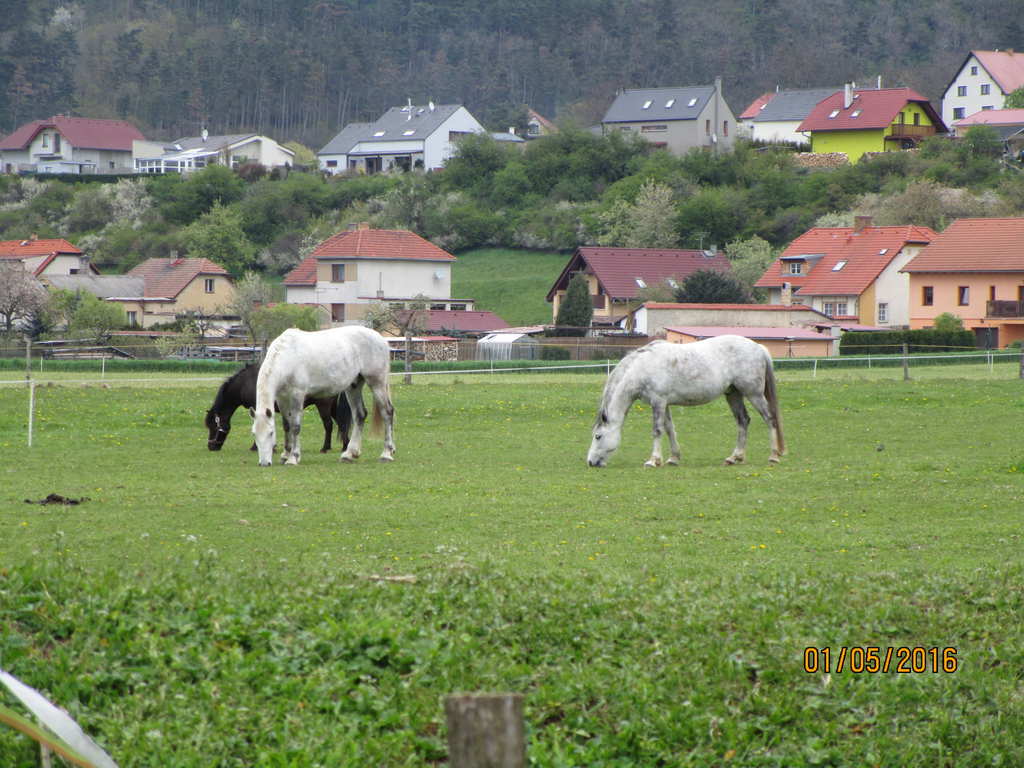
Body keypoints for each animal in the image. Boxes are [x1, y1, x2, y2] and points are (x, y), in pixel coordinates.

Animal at [203, 364, 352, 454]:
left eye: (213, 427)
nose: (211, 446)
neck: (246, 383)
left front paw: (255, 447)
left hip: (324, 406)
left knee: (329, 425)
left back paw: (325, 448)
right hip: (333, 407)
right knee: (341, 424)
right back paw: (345, 445)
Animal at [252, 325, 395, 466]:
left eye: (271, 433)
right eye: (254, 434)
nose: (264, 463)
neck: (287, 356)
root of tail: (380, 339)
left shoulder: (297, 395)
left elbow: (295, 427)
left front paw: (293, 457)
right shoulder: (282, 398)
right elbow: (287, 425)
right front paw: (285, 455)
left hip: (377, 383)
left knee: (387, 412)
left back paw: (386, 453)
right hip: (353, 386)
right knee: (360, 415)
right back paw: (349, 454)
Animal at [585, 335, 782, 468]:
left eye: (598, 436)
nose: (590, 462)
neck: (642, 368)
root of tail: (758, 347)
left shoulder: (658, 402)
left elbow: (657, 430)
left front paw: (653, 460)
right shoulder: (664, 404)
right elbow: (670, 429)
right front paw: (673, 458)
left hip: (754, 394)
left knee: (769, 418)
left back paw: (774, 455)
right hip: (733, 394)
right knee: (743, 421)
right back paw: (735, 457)